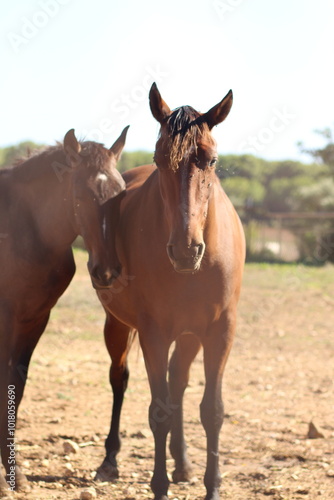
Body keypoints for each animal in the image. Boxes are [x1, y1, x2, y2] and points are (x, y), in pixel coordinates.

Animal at [0, 126, 128, 496]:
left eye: (121, 194)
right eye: (81, 195)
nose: (106, 272)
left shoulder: (34, 320)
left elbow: (16, 384)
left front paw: (14, 471)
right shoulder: (6, 319)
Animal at [94, 84, 245, 498]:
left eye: (210, 160)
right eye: (159, 160)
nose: (185, 250)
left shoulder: (219, 332)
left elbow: (211, 410)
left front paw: (211, 486)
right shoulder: (154, 334)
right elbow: (158, 411)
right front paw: (159, 485)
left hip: (190, 334)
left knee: (178, 382)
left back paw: (183, 463)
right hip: (118, 325)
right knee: (120, 379)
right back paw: (110, 460)